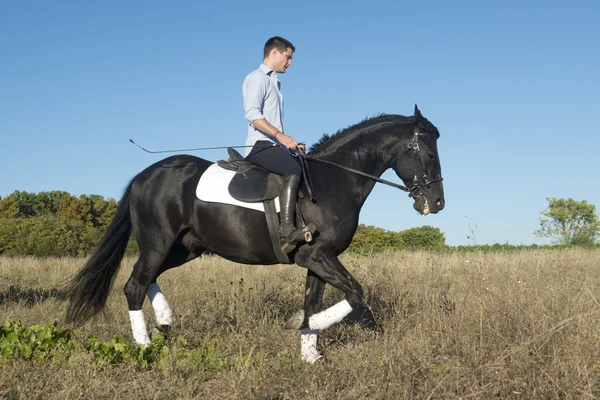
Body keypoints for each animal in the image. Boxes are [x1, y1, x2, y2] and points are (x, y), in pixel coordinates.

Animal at [67, 104, 446, 360]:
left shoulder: (317, 259)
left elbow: (313, 301)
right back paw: (144, 346)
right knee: (135, 284)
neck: (335, 180)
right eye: (429, 153)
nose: (437, 202)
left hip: (184, 247)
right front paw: (300, 326)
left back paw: (165, 317)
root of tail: (145, 175)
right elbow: (355, 293)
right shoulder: (316, 254)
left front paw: (310, 355)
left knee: (147, 278)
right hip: (159, 243)